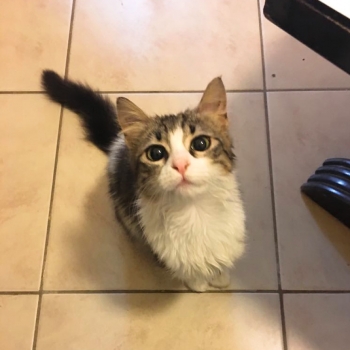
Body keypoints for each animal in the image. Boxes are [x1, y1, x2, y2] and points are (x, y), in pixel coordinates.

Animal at [41, 69, 246, 292]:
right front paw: (198, 283)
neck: (194, 211)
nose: (180, 165)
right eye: (156, 153)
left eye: (201, 143)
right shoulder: (162, 247)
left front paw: (220, 276)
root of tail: (117, 142)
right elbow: (189, 271)